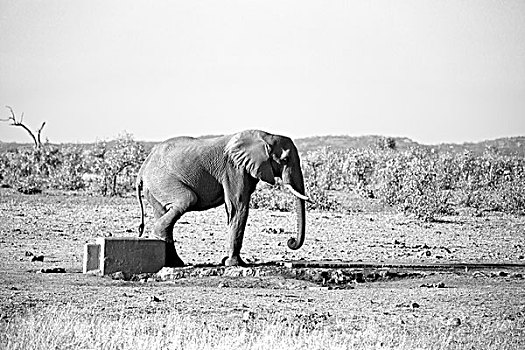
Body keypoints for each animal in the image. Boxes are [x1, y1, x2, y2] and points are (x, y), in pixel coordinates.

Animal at [135, 130, 310, 266]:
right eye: (285, 160)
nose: (290, 241)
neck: (265, 136)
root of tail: (143, 167)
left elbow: (234, 210)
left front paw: (229, 261)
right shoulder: (234, 169)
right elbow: (238, 207)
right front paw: (235, 264)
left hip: (154, 188)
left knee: (162, 211)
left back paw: (175, 263)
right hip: (162, 180)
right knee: (187, 199)